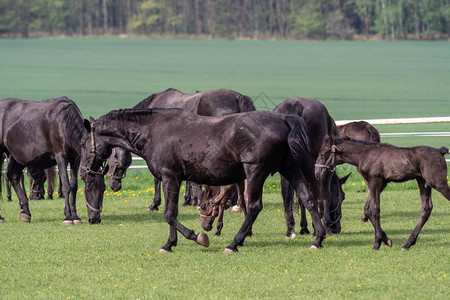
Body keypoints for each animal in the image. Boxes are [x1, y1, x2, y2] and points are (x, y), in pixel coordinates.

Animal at [81, 109, 326, 252]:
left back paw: (234, 243)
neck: (154, 131)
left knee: (254, 207)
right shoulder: (175, 180)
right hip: (290, 169)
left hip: (256, 172)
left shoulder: (170, 178)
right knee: (308, 198)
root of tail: (283, 118)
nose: (84, 172)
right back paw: (318, 238)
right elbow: (172, 213)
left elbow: (169, 214)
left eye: (83, 143)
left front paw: (196, 236)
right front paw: (169, 244)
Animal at [104, 88, 255, 211]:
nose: (114, 185)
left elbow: (157, 179)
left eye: (113, 158)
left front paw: (155, 204)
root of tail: (238, 97)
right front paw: (188, 200)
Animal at [316, 135, 450, 250]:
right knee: (426, 208)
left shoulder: (375, 181)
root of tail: (439, 151)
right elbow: (367, 209)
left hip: (438, 183)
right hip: (423, 182)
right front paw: (386, 240)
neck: (365, 154)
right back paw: (407, 244)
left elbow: (375, 209)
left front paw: (377, 243)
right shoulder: (379, 184)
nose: (317, 174)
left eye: (323, 154)